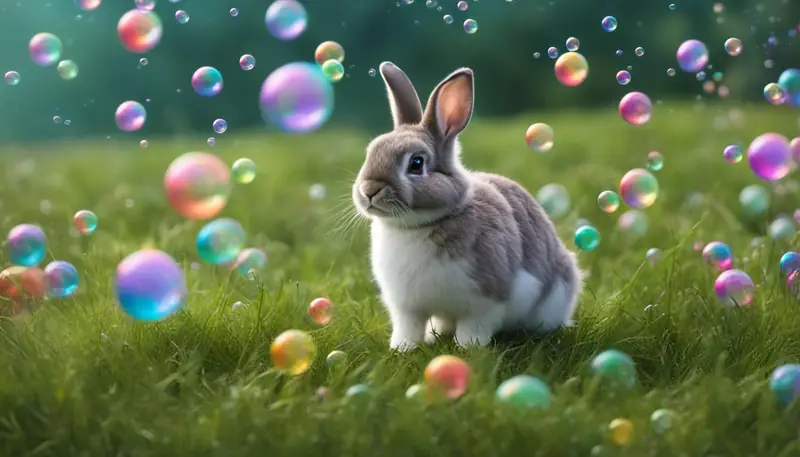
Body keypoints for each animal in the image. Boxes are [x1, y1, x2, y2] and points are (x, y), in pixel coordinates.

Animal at [351, 61, 583, 351]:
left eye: (416, 164)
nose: (369, 190)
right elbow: (408, 328)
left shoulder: (486, 299)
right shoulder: (406, 308)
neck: (419, 224)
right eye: (370, 153)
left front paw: (468, 348)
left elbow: (475, 326)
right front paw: (402, 348)